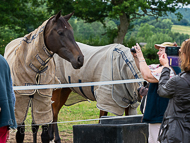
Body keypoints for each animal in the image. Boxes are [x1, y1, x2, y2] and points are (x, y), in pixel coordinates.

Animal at [3, 10, 84, 142]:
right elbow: (20, 134)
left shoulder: (43, 103)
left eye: (72, 32)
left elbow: (44, 134)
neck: (34, 67)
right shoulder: (20, 103)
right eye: (60, 32)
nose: (80, 59)